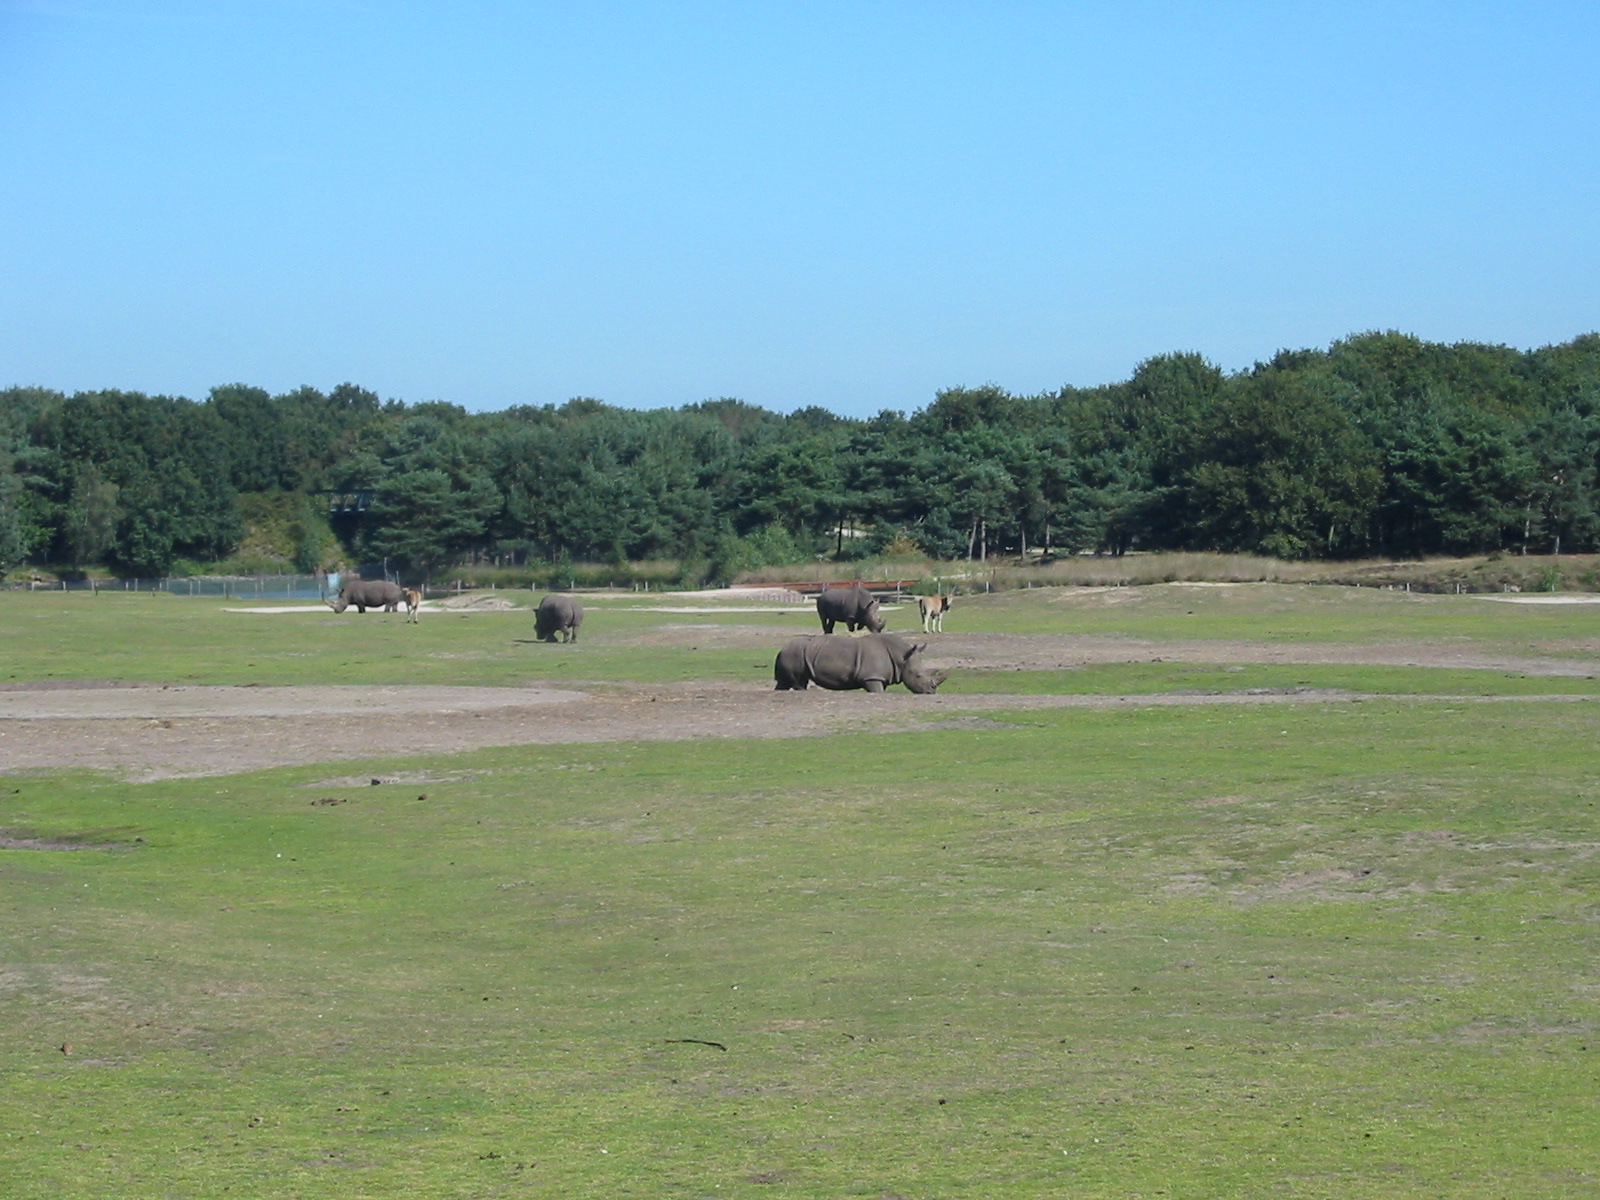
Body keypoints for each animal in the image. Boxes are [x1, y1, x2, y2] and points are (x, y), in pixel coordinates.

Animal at [773, 633, 946, 693]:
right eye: (918, 676)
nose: (932, 692)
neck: (902, 657)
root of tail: (782, 648)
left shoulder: (879, 677)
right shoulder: (872, 677)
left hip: (792, 654)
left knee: (783, 682)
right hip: (794, 655)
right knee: (798, 682)